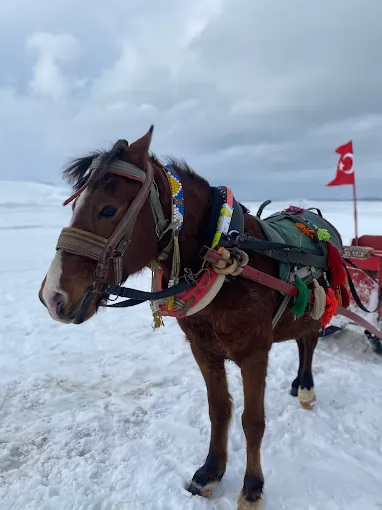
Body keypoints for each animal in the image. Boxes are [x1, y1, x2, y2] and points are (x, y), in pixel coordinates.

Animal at [39, 125, 344, 508]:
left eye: (107, 210)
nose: (53, 297)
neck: (223, 257)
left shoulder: (254, 354)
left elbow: (252, 421)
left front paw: (252, 486)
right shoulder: (204, 351)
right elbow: (219, 410)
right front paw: (210, 472)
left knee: (310, 341)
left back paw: (305, 388)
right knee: (304, 342)